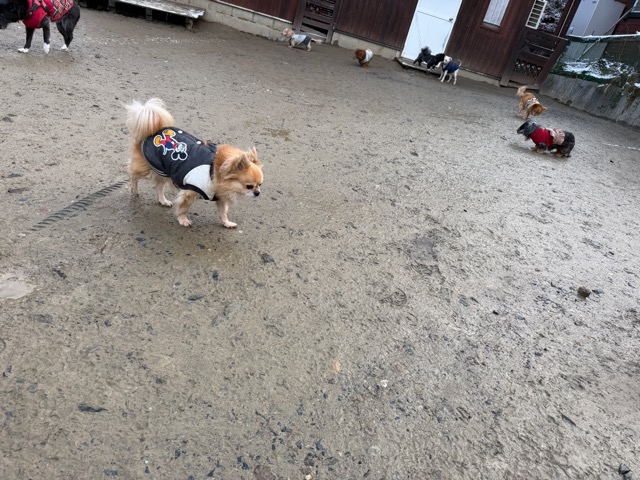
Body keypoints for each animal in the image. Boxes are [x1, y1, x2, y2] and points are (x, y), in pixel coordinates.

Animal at [125, 98, 264, 228]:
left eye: (260, 185)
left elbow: (223, 212)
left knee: (159, 187)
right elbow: (183, 208)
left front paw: (227, 223)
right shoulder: (189, 192)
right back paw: (134, 189)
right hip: (146, 168)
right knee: (133, 175)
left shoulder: (220, 198)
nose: (257, 193)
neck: (214, 171)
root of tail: (154, 130)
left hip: (163, 171)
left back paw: (163, 200)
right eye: (249, 186)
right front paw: (183, 220)